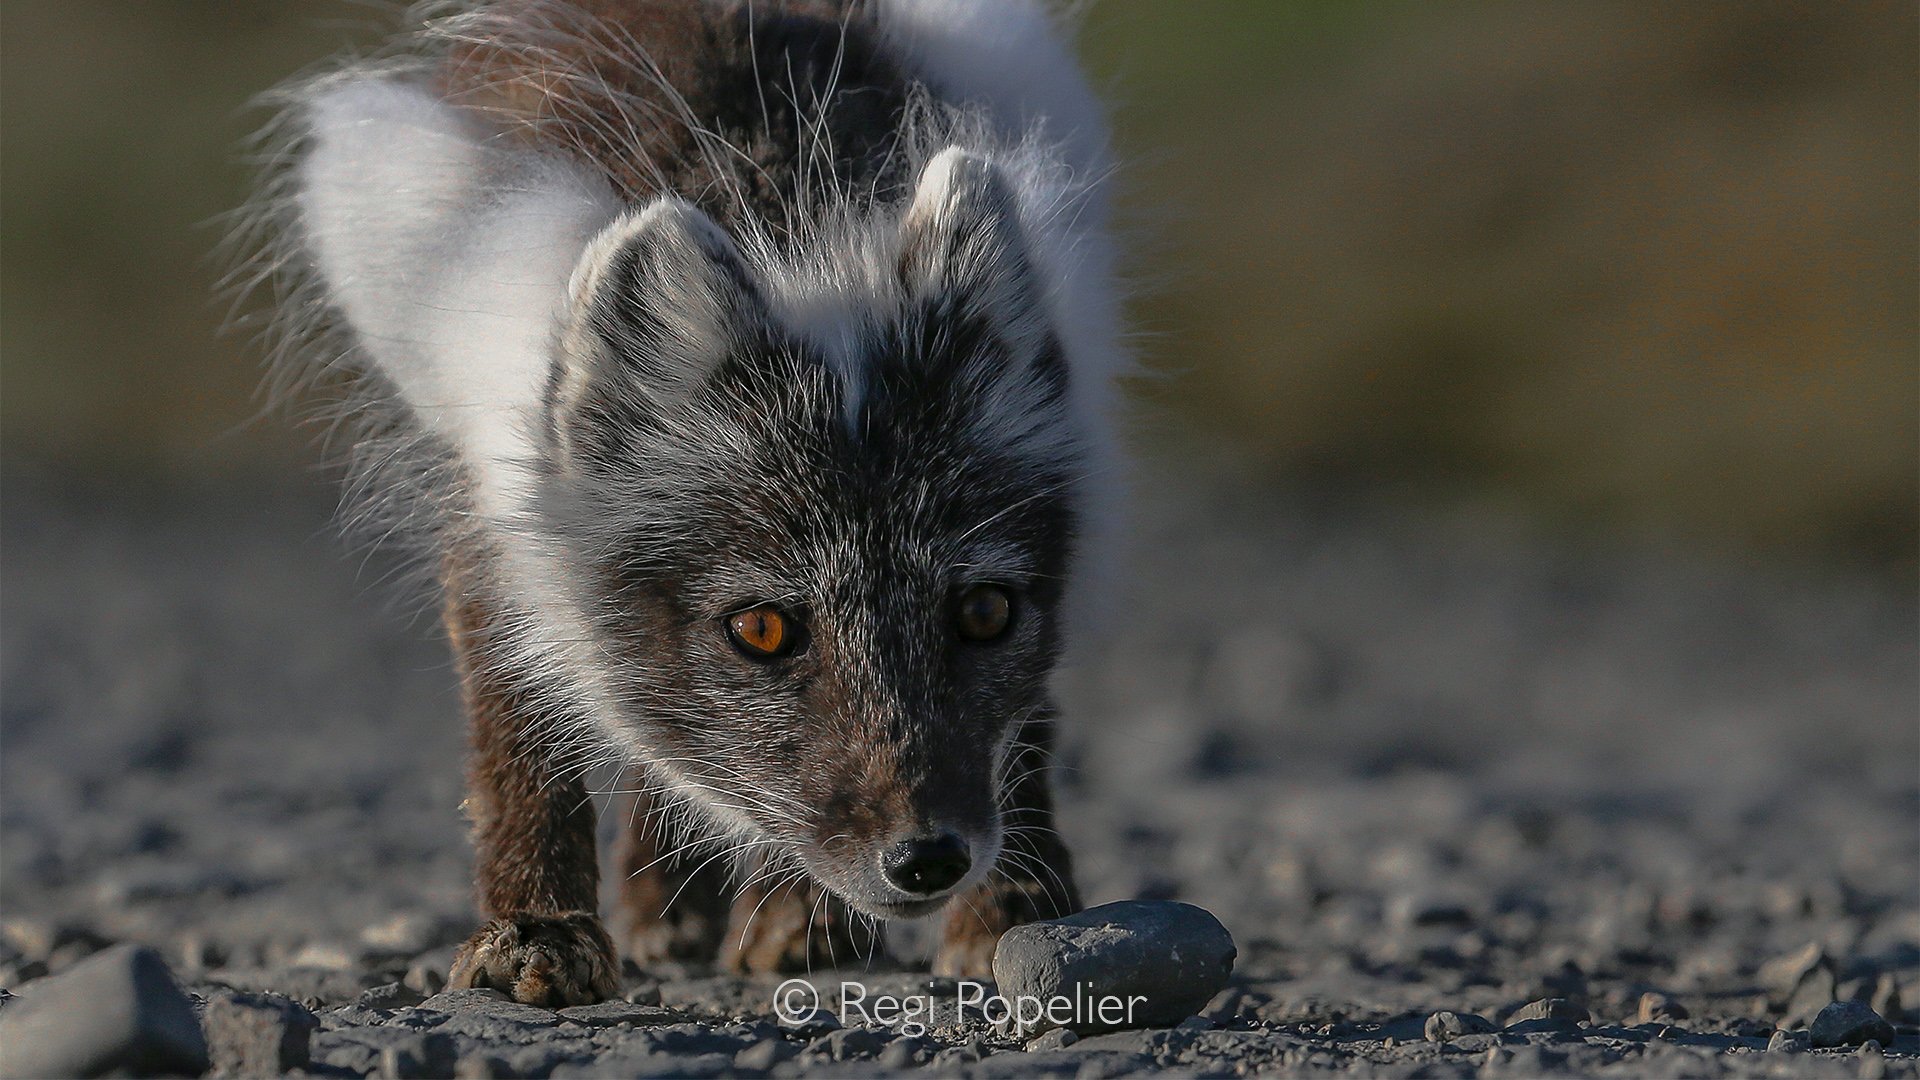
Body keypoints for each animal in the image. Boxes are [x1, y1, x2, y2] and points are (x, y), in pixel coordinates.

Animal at [239, 0, 1129, 1005]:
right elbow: (520, 738)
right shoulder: (499, 523)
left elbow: (1015, 735)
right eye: (761, 631)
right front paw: (533, 936)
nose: (928, 859)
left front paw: (997, 911)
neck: (793, 229)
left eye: (984, 612)